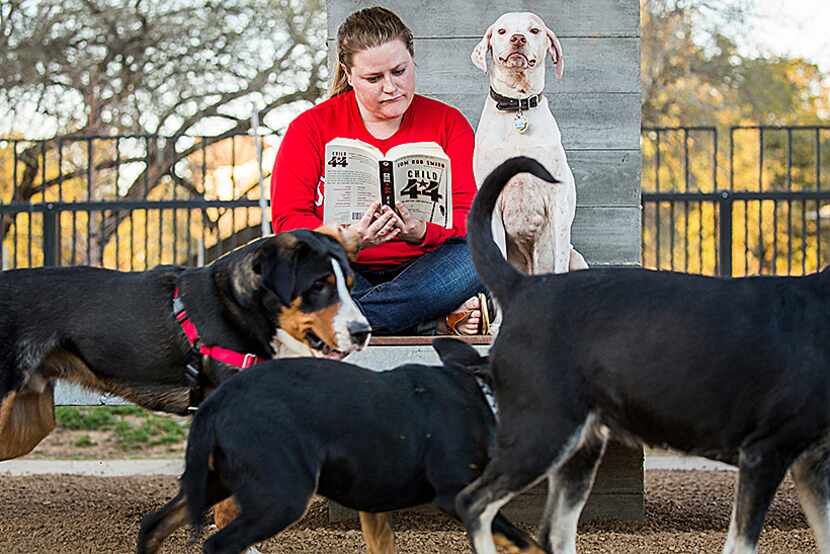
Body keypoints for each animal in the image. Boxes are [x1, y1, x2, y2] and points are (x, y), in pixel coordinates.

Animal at [135, 336, 544, 552]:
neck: (482, 395)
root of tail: (218, 402)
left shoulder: (375, 505)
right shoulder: (459, 493)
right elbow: (526, 542)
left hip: (215, 480)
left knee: (154, 525)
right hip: (280, 495)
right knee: (217, 545)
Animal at [456, 155, 830, 552]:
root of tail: (523, 287)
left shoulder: (812, 465)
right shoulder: (765, 454)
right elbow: (741, 543)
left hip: (579, 448)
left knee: (554, 532)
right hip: (540, 432)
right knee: (473, 503)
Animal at [472, 12, 588, 284]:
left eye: (534, 30)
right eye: (502, 31)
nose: (517, 38)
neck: (517, 104)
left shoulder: (558, 205)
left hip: (577, 258)